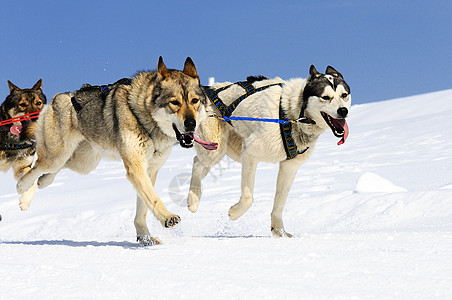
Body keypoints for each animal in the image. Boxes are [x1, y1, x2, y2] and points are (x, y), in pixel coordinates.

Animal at [0, 79, 46, 211]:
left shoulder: (22, 167)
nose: (36, 117)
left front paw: (25, 201)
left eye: (39, 103)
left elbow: (33, 179)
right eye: (22, 104)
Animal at [17, 56, 208, 246]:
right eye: (175, 102)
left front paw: (145, 237)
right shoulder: (136, 168)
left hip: (83, 163)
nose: (191, 124)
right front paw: (167, 217)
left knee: (48, 173)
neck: (146, 118)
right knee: (35, 169)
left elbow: (143, 208)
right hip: (57, 156)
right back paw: (22, 190)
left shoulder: (149, 170)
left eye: (195, 101)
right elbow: (153, 198)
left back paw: (40, 184)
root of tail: (58, 98)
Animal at [189, 65, 352, 237]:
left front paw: (279, 231)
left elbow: (279, 204)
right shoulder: (250, 152)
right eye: (325, 97)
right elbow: (248, 198)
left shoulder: (289, 167)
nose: (343, 111)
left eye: (344, 95)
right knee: (197, 163)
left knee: (198, 163)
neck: (292, 113)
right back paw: (193, 201)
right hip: (215, 151)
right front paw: (233, 213)